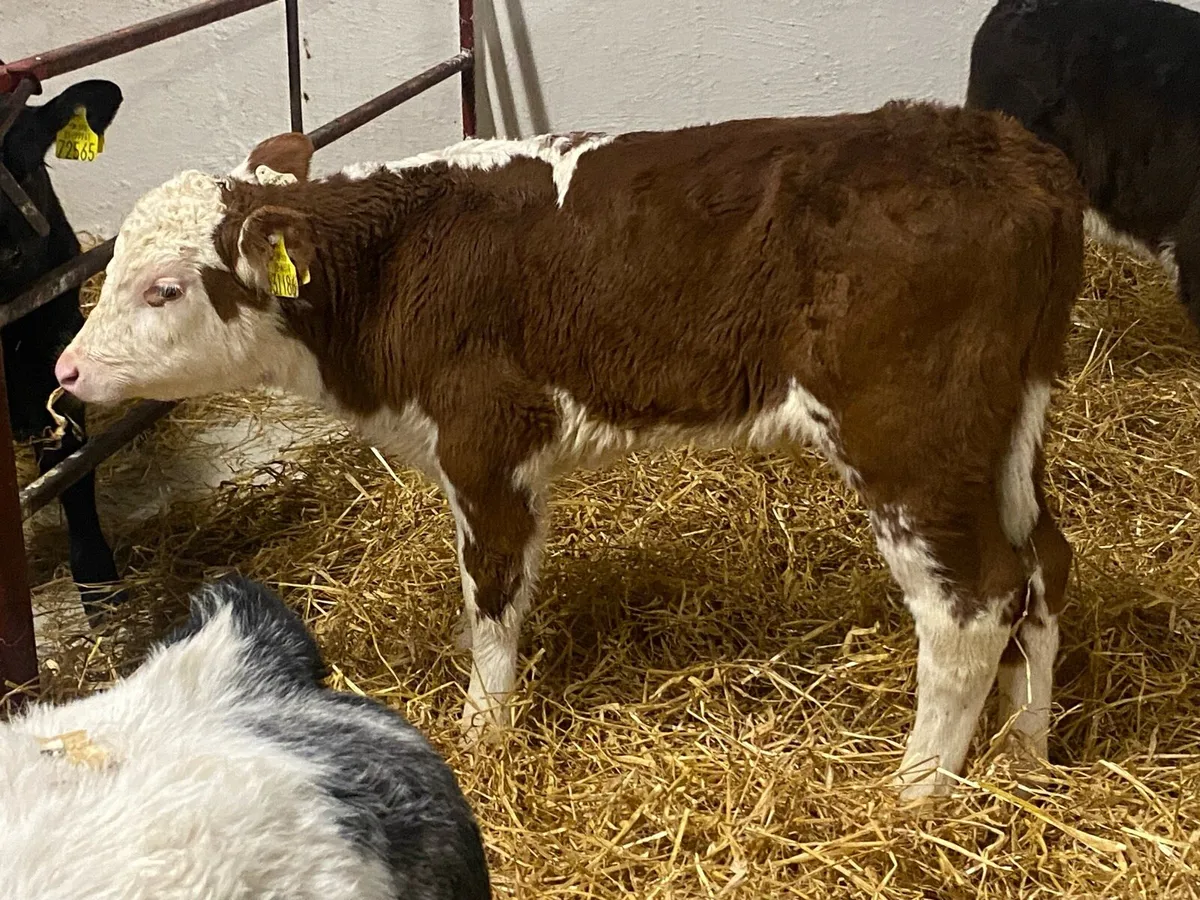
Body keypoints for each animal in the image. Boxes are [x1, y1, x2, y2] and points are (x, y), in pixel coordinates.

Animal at [53, 100, 1085, 798]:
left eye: (163, 287)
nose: (66, 368)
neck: (394, 269)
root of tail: (1011, 152)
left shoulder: (488, 440)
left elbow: (495, 592)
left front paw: (483, 729)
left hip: (909, 432)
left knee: (972, 602)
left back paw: (916, 794)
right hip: (1008, 426)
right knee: (1044, 563)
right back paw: (1024, 756)